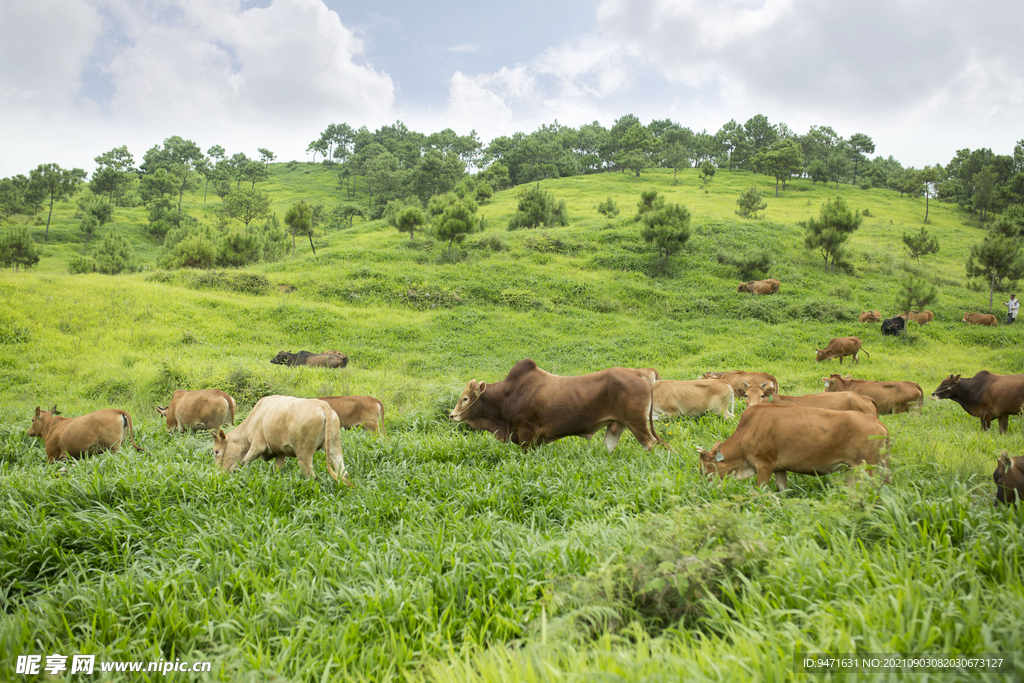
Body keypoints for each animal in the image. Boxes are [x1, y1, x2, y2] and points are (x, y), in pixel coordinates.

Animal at [211, 393, 348, 483]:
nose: (219, 473)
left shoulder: (257, 446)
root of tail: (322, 405)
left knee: (311, 475)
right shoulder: (280, 453)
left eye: (216, 451)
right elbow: (277, 470)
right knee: (342, 471)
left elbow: (245, 461)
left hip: (303, 453)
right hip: (334, 445)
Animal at [450, 358, 659, 454]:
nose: (452, 415)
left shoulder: (527, 433)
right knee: (610, 446)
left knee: (650, 443)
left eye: (465, 398)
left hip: (637, 423)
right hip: (618, 425)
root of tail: (638, 373)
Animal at [696, 405, 888, 491]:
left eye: (702, 470)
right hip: (852, 469)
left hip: (868, 468)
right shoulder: (779, 469)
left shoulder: (764, 465)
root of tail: (879, 424)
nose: (702, 487)